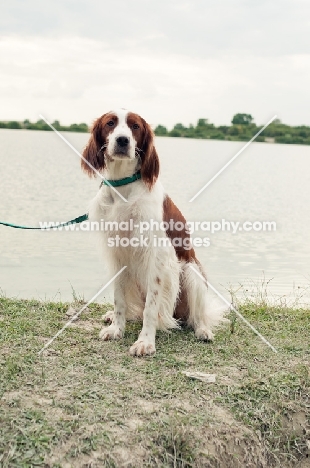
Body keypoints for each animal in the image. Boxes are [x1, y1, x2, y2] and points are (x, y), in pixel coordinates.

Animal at [81, 109, 224, 356]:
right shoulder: (117, 254)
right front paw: (117, 328)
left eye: (135, 126)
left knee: (197, 315)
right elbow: (119, 300)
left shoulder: (157, 256)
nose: (123, 140)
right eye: (110, 123)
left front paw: (145, 342)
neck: (123, 186)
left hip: (191, 271)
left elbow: (151, 307)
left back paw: (203, 330)